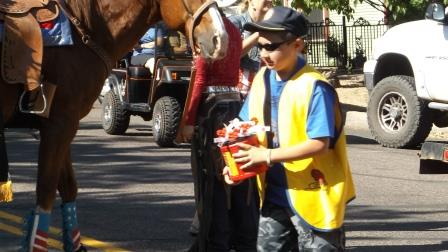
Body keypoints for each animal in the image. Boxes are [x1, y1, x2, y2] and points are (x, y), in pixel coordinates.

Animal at [0, 0, 226, 250]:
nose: (220, 38)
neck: (84, 30)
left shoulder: (61, 125)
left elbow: (68, 187)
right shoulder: (60, 124)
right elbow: (46, 192)